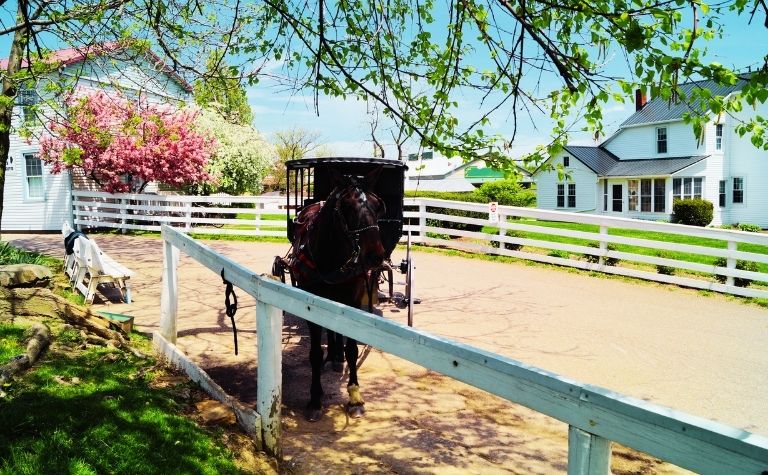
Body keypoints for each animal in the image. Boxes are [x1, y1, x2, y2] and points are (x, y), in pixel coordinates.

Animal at [282, 165, 388, 422]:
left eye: (378, 205)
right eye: (347, 206)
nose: (375, 255)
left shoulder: (352, 299)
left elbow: (352, 349)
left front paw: (355, 396)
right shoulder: (311, 302)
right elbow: (314, 353)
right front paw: (315, 399)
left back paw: (337, 357)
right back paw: (332, 356)